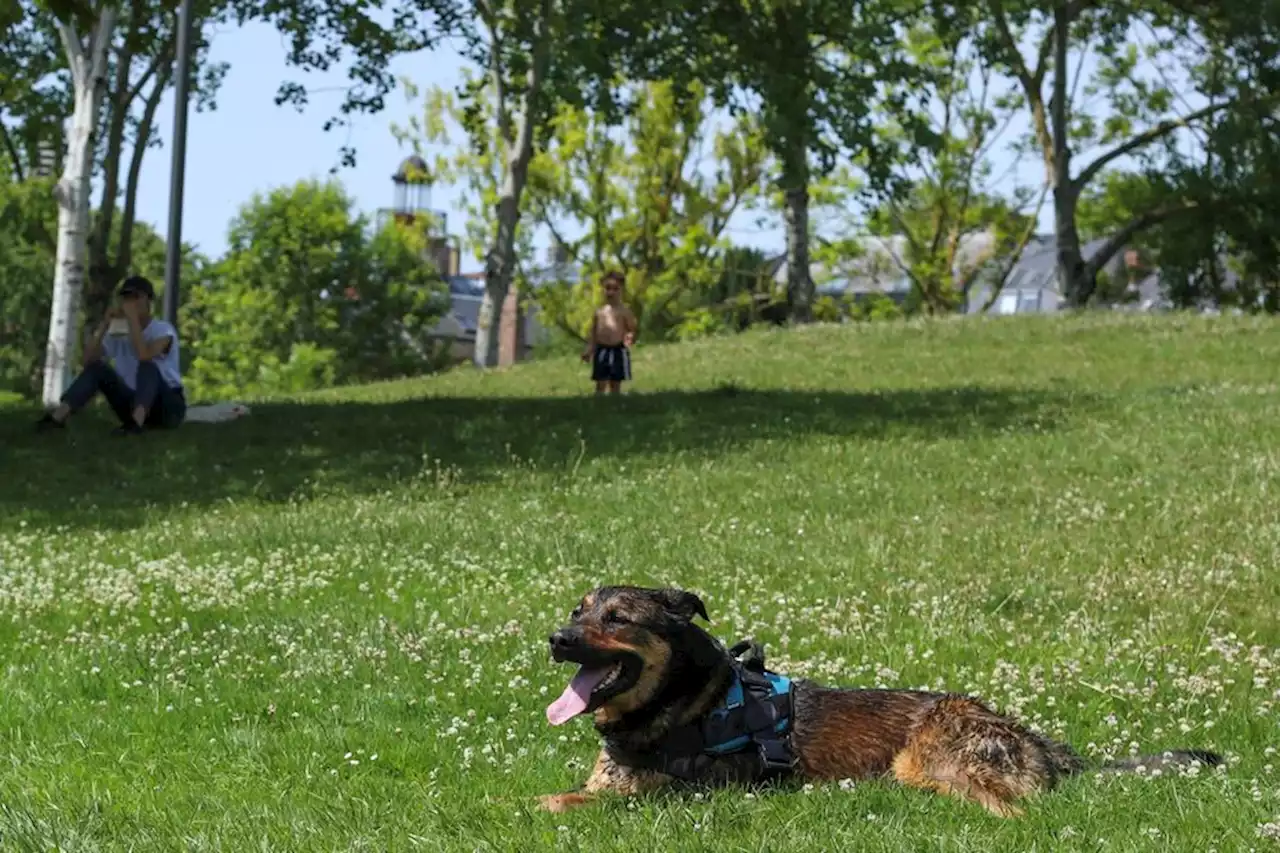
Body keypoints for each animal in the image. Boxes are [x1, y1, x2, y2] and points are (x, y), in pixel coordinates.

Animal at [535, 581, 1223, 814]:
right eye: (577, 610)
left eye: (617, 618)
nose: (557, 639)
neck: (681, 704)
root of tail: (1042, 746)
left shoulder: (691, 792)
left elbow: (574, 801)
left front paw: (549, 807)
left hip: (927, 757)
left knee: (1017, 809)